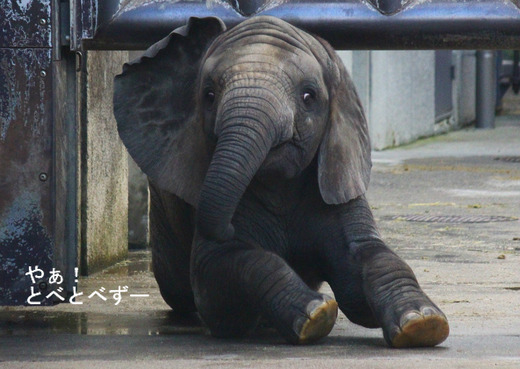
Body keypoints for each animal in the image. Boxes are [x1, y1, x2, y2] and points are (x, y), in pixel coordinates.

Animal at [112, 15, 446, 346]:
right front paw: (315, 313)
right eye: (209, 95)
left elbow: (369, 262)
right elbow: (221, 276)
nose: (227, 226)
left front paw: (422, 321)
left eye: (309, 96)